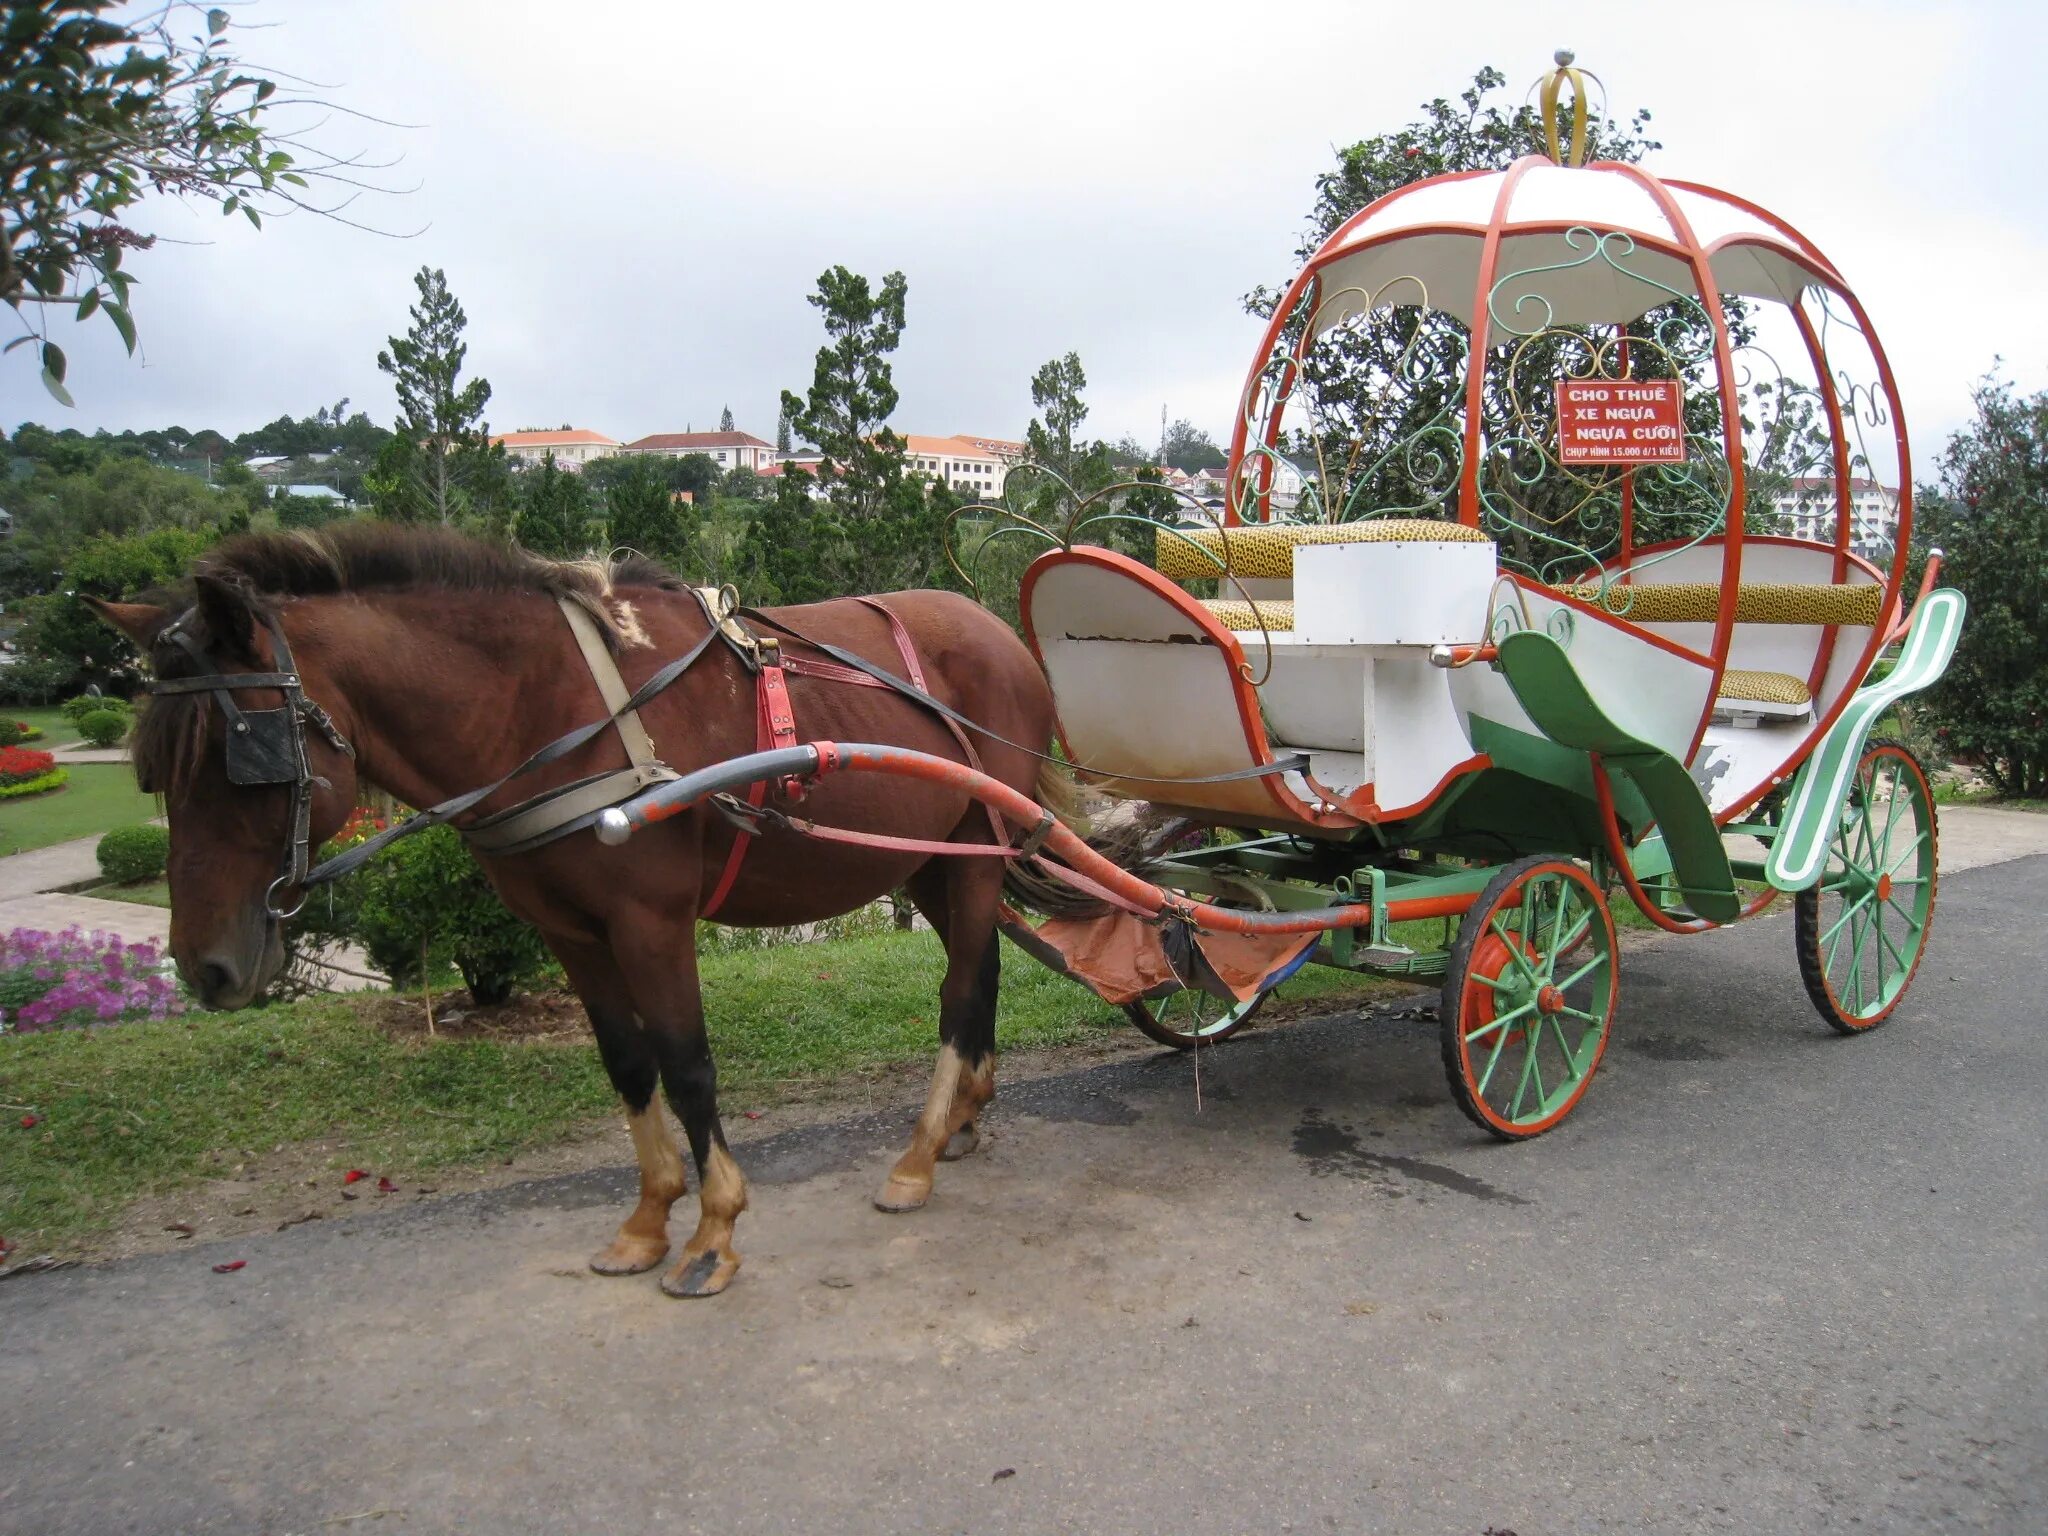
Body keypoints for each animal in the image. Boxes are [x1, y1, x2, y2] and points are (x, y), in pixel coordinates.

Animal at [86, 528, 1064, 1302]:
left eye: (243, 757)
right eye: (151, 771)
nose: (206, 966)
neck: (552, 706)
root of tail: (997, 633)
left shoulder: (652, 921)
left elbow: (687, 1066)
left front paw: (713, 1231)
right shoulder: (570, 933)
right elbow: (628, 1063)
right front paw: (646, 1221)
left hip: (980, 849)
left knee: (961, 987)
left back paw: (918, 1153)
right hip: (931, 859)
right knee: (979, 972)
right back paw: (964, 1114)